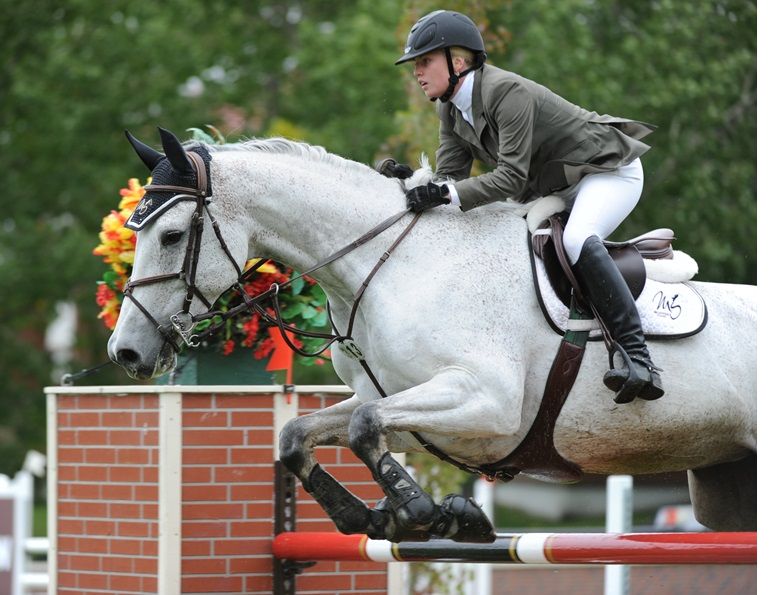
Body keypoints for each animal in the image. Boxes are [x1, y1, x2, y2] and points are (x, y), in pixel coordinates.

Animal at [108, 128, 757, 541]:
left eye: (170, 235)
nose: (126, 352)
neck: (394, 264)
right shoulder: (403, 403)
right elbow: (302, 435)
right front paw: (391, 517)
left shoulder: (490, 404)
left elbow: (364, 430)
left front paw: (422, 511)